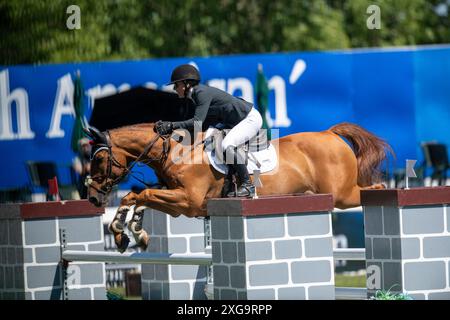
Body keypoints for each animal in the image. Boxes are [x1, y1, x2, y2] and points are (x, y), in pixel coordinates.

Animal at [84, 122, 390, 252]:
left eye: (98, 158)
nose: (93, 199)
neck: (175, 152)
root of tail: (329, 133)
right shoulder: (177, 202)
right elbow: (136, 195)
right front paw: (128, 233)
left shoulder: (187, 201)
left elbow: (144, 193)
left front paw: (129, 231)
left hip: (343, 194)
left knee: (374, 188)